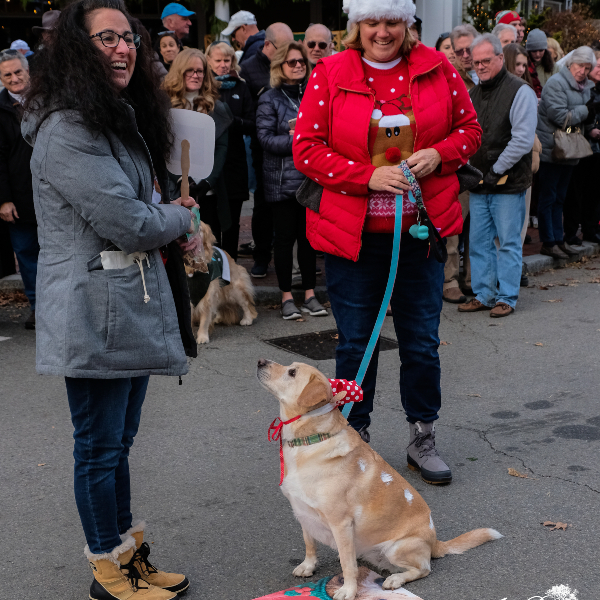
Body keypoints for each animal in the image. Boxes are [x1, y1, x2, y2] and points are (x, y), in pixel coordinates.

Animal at [258, 360, 502, 600]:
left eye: (292, 372)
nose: (261, 362)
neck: (310, 440)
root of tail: (434, 542)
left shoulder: (340, 523)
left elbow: (348, 565)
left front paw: (348, 590)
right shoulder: (303, 513)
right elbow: (310, 545)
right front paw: (308, 566)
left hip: (397, 548)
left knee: (423, 569)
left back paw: (395, 579)